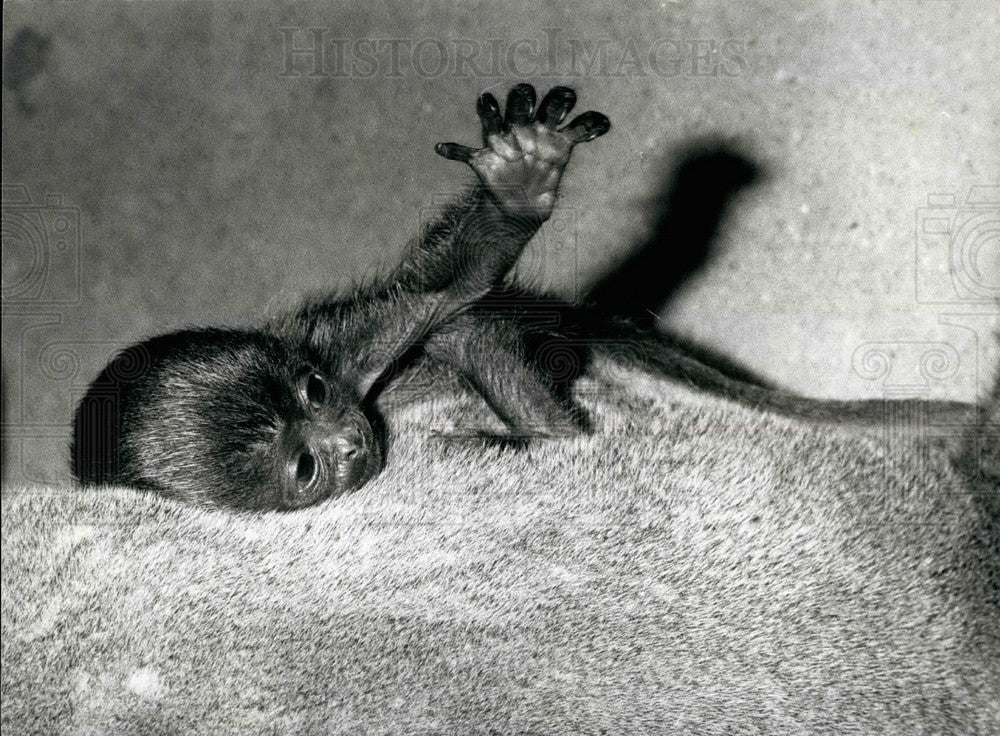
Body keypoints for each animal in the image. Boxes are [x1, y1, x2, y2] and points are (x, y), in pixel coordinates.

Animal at [72, 86, 608, 508]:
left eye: (316, 391)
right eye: (305, 467)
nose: (349, 441)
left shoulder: (335, 346)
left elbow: (443, 293)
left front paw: (520, 177)